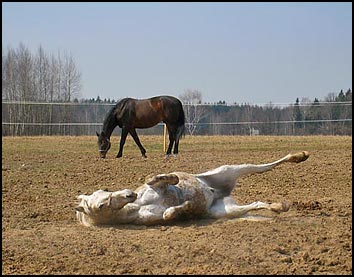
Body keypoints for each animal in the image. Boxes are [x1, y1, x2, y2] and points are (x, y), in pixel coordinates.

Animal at [75, 151, 310, 226]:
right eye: (101, 205)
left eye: (104, 191)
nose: (129, 194)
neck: (137, 205)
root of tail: (220, 193)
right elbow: (171, 213)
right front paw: (185, 206)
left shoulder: (156, 186)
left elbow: (155, 178)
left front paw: (172, 177)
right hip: (225, 210)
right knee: (257, 204)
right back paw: (279, 206)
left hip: (231, 169)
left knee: (267, 166)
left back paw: (300, 156)